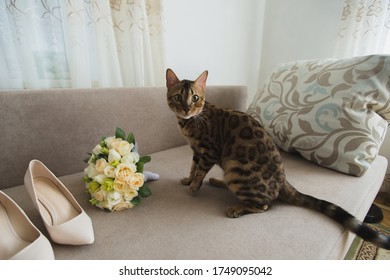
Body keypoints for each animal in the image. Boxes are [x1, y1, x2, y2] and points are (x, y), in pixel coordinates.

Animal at [165, 69, 390, 250]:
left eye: (195, 98)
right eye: (178, 97)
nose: (186, 108)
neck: (190, 123)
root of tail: (283, 181)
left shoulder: (210, 151)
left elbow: (200, 171)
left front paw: (194, 186)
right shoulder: (196, 150)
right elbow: (193, 167)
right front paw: (188, 180)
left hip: (235, 168)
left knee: (264, 205)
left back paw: (235, 208)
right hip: (231, 169)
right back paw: (218, 181)